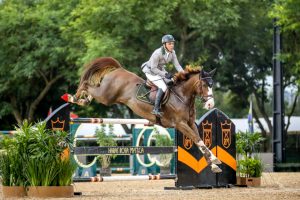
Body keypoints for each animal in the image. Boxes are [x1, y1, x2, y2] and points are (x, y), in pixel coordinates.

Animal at [63, 57, 223, 173]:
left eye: (212, 85)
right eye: (204, 85)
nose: (210, 105)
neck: (181, 96)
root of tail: (119, 69)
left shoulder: (190, 124)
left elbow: (199, 140)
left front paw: (214, 164)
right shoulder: (180, 124)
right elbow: (197, 139)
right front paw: (215, 161)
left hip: (106, 95)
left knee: (91, 89)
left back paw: (82, 99)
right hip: (106, 96)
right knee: (87, 85)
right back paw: (71, 97)